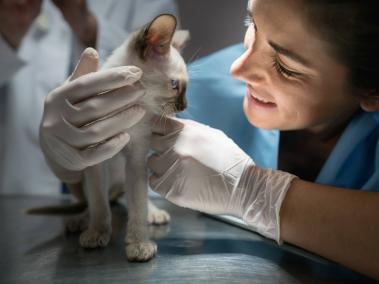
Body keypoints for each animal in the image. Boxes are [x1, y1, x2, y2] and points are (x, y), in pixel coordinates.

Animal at [68, 13, 190, 262]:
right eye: (174, 85)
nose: (184, 106)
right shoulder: (96, 161)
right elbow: (99, 206)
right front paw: (97, 233)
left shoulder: (136, 159)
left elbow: (138, 206)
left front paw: (139, 245)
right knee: (98, 201)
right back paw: (81, 221)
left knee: (137, 198)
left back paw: (154, 214)